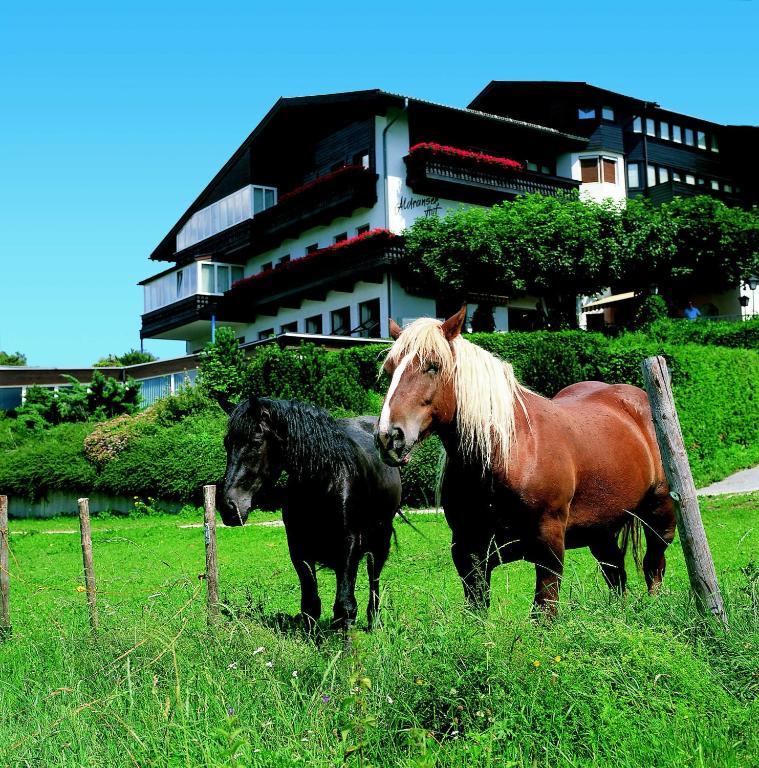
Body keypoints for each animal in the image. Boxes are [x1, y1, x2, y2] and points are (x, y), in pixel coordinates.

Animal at [218, 396, 404, 632]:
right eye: (227, 444)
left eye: (256, 442)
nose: (228, 507)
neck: (324, 480)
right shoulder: (299, 548)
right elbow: (311, 604)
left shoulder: (349, 543)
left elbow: (344, 605)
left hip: (381, 538)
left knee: (374, 578)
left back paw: (374, 622)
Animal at [378, 308, 680, 616]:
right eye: (389, 370)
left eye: (433, 366)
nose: (390, 436)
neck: (505, 455)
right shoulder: (467, 552)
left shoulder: (549, 548)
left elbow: (543, 614)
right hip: (601, 529)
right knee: (615, 572)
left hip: (660, 516)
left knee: (653, 565)